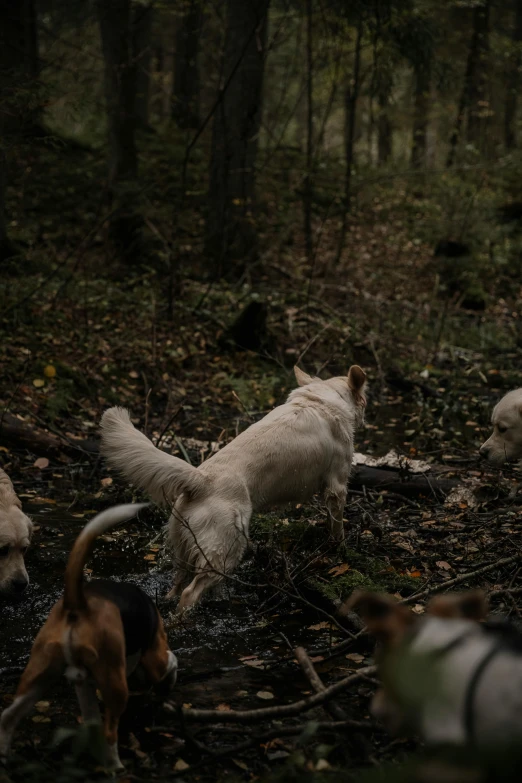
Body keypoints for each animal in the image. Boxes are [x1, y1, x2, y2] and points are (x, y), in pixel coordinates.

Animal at [0, 506, 177, 768]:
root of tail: (79, 603)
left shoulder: (84, 685)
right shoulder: (155, 656)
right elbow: (172, 660)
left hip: (39, 674)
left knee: (8, 716)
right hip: (115, 682)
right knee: (109, 732)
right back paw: (115, 767)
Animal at [99, 366, 364, 612]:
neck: (322, 397)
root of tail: (201, 479)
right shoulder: (337, 486)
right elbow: (337, 528)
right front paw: (341, 553)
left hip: (183, 547)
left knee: (176, 584)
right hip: (226, 550)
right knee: (189, 593)